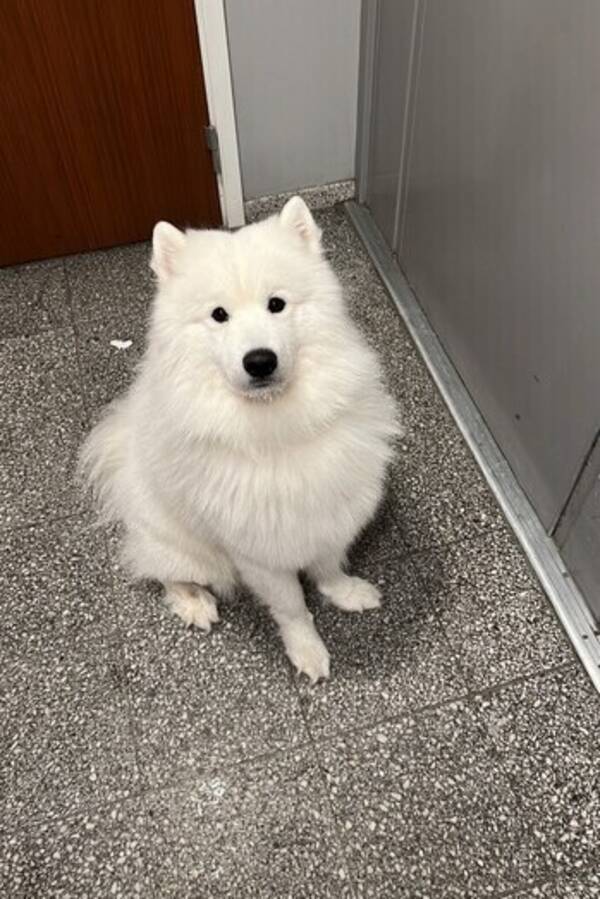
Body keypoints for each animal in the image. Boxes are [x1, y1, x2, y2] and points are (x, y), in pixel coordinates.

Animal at [78, 199, 398, 684]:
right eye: (219, 315)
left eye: (276, 304)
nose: (260, 361)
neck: (273, 426)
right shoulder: (258, 553)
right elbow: (292, 608)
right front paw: (308, 651)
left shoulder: (329, 514)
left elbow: (328, 567)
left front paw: (345, 592)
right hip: (190, 552)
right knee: (162, 572)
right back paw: (194, 602)